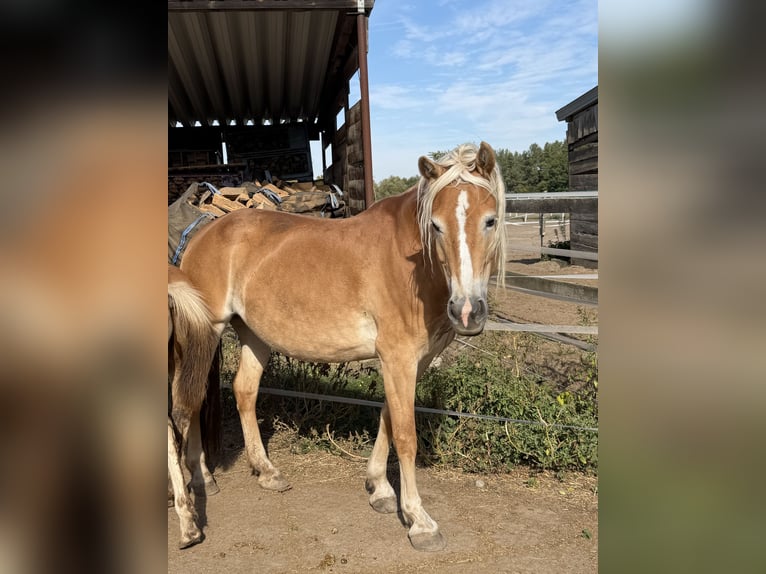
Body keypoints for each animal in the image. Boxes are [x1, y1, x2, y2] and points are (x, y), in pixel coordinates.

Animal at [179, 141, 506, 551]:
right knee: (191, 401)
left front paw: (380, 489)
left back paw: (266, 471)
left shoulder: (412, 361)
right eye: (436, 225)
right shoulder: (398, 357)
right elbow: (405, 435)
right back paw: (202, 479)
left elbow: (387, 418)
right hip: (206, 332)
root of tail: (200, 236)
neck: (413, 265)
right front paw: (419, 521)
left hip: (254, 335)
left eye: (490, 220)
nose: (466, 311)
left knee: (244, 391)